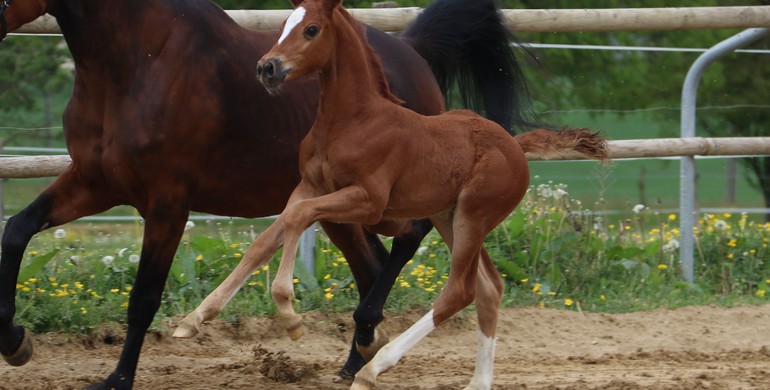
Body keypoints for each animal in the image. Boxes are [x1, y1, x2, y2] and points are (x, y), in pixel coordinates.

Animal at [1, 0, 540, 386]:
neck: (139, 60)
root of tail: (415, 51)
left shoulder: (167, 200)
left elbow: (143, 295)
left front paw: (117, 379)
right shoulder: (93, 183)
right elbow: (17, 229)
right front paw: (15, 342)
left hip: (396, 201)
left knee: (412, 244)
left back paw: (368, 345)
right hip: (345, 214)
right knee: (373, 266)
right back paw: (356, 357)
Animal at [240, 0, 608, 386]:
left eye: (311, 29)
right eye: (285, 23)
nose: (267, 67)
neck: (353, 122)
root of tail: (516, 145)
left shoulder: (369, 202)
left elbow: (300, 215)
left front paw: (290, 316)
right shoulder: (313, 186)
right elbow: (281, 226)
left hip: (473, 217)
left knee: (459, 291)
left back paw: (372, 369)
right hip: (450, 218)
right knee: (490, 287)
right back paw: (477, 382)